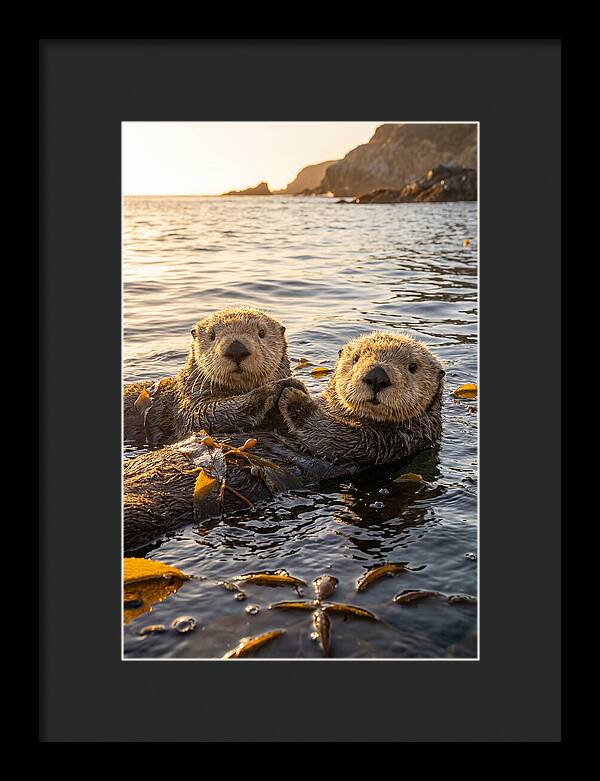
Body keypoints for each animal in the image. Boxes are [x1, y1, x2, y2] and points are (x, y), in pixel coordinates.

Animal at [123, 332, 445, 550]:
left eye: (413, 367)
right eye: (356, 359)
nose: (377, 376)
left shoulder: (388, 443)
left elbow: (332, 435)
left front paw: (293, 396)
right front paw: (282, 386)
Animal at [124, 307, 302, 447]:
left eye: (262, 333)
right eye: (212, 335)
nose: (236, 349)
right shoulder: (189, 403)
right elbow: (204, 415)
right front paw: (275, 388)